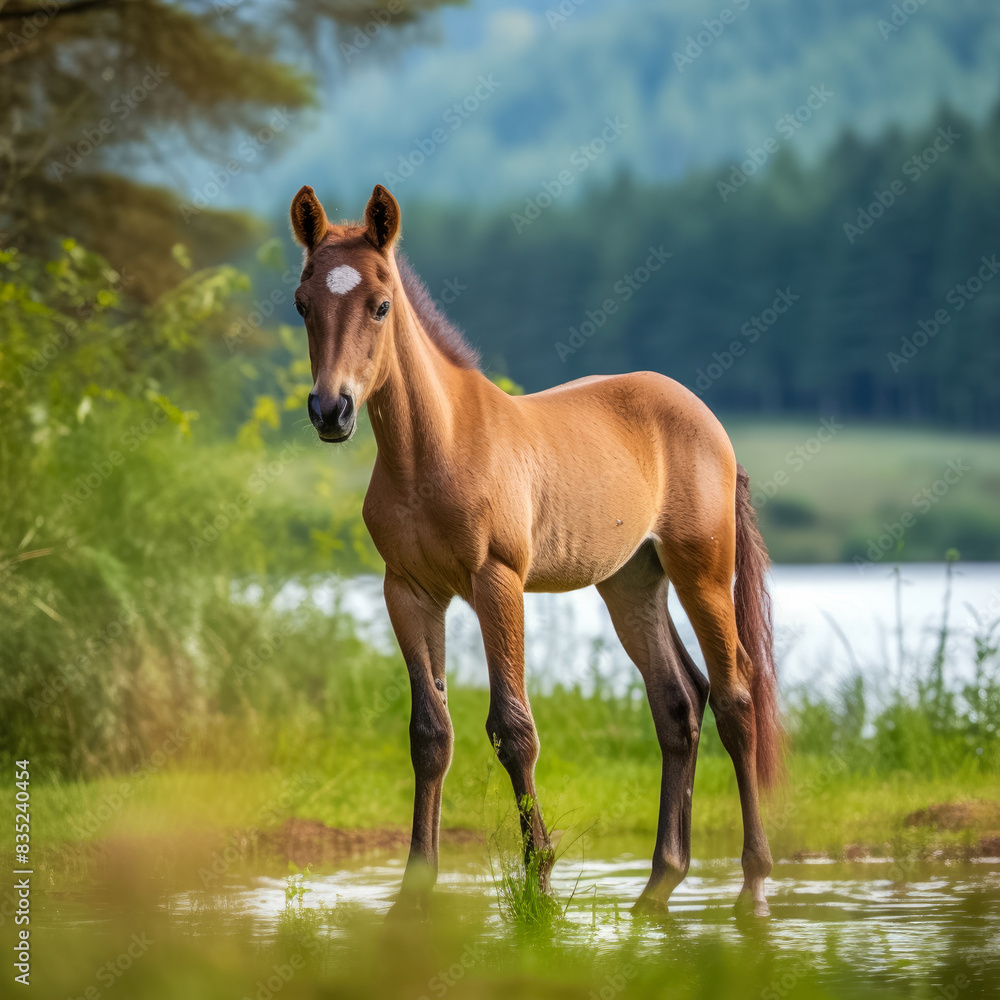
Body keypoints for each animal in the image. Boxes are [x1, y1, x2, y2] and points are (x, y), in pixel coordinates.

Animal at [288, 183, 781, 917]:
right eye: (302, 302)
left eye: (380, 303)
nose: (331, 411)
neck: (431, 451)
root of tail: (707, 419)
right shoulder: (407, 590)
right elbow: (429, 733)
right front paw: (414, 886)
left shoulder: (497, 581)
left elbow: (513, 729)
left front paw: (540, 879)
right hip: (631, 582)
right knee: (677, 703)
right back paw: (658, 884)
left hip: (702, 572)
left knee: (734, 698)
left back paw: (752, 885)